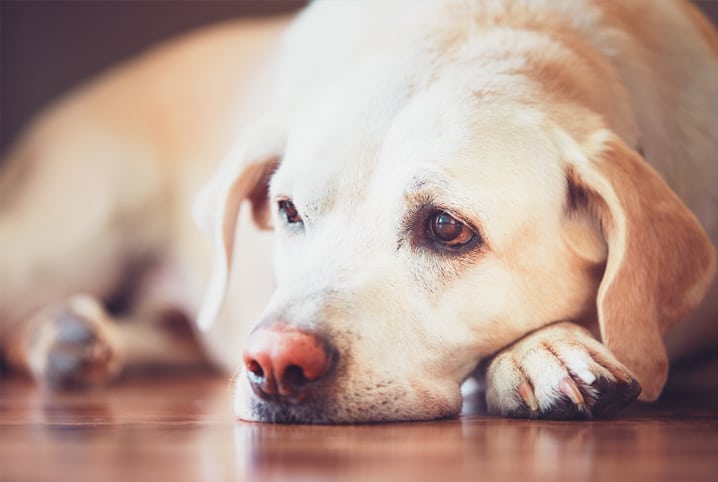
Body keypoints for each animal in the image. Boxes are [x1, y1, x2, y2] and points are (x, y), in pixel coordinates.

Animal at [1, 0, 718, 422]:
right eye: (287, 210)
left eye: (447, 228)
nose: (274, 363)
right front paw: (543, 351)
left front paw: (543, 349)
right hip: (63, 245)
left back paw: (71, 338)